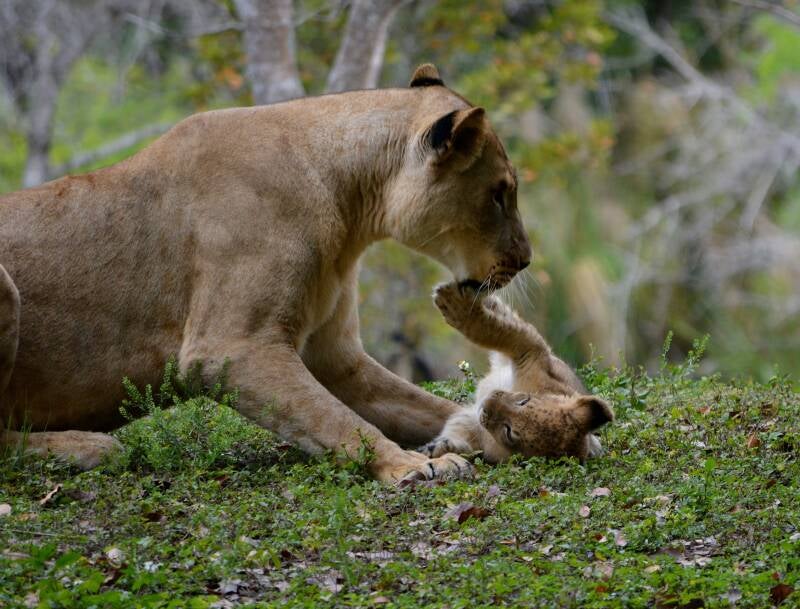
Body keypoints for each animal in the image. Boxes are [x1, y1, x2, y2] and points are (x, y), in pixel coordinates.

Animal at [0, 64, 531, 483]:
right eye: (500, 193)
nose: (525, 260)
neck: (350, 202)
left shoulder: (334, 356)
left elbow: (418, 405)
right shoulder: (230, 350)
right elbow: (339, 422)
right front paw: (414, 466)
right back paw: (87, 447)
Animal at [419, 282, 613, 463]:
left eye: (509, 431)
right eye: (524, 402)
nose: (488, 401)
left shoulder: (476, 428)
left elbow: (461, 434)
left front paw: (440, 447)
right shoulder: (533, 355)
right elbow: (500, 331)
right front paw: (454, 304)